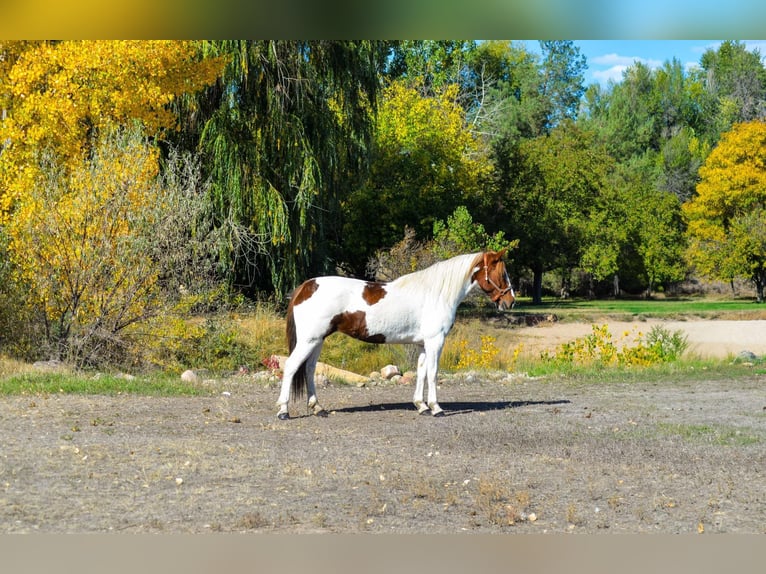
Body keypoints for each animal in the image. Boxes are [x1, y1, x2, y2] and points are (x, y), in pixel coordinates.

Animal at [276, 250, 516, 420]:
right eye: (502, 273)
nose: (510, 301)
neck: (436, 294)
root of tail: (306, 286)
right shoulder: (435, 342)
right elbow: (433, 373)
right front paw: (436, 408)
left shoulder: (422, 344)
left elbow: (421, 373)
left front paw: (421, 406)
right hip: (309, 341)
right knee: (291, 366)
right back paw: (283, 411)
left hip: (317, 341)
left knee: (309, 369)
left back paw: (318, 408)